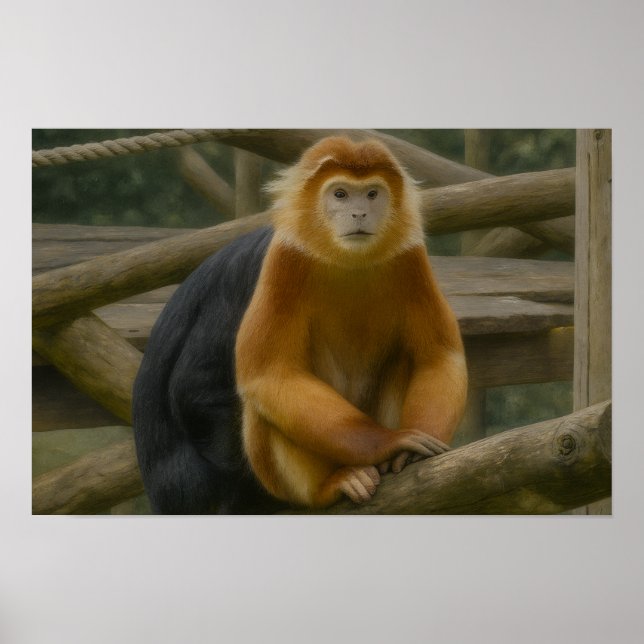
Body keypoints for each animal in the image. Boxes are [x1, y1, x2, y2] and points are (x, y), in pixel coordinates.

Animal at [132, 136, 467, 514]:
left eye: (371, 194)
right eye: (340, 194)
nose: (359, 213)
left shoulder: (409, 257)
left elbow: (439, 357)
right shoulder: (280, 262)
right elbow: (252, 378)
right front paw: (391, 442)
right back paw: (332, 484)